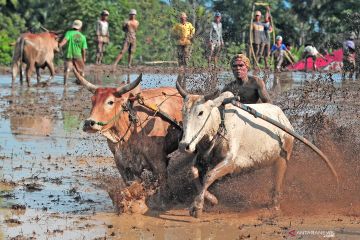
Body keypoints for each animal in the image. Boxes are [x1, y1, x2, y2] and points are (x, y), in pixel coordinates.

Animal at [75, 71, 184, 210]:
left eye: (110, 102)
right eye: (92, 100)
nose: (89, 123)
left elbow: (163, 192)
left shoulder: (159, 165)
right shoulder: (123, 167)